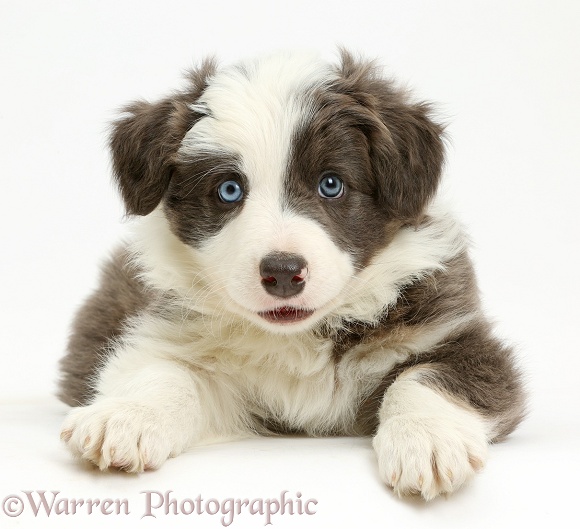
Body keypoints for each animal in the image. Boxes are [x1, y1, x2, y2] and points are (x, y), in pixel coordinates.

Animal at [59, 49, 524, 500]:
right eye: (228, 190)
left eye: (331, 184)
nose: (282, 273)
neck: (299, 340)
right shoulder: (175, 341)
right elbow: (164, 374)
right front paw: (125, 417)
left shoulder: (460, 335)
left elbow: (424, 377)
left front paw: (426, 439)